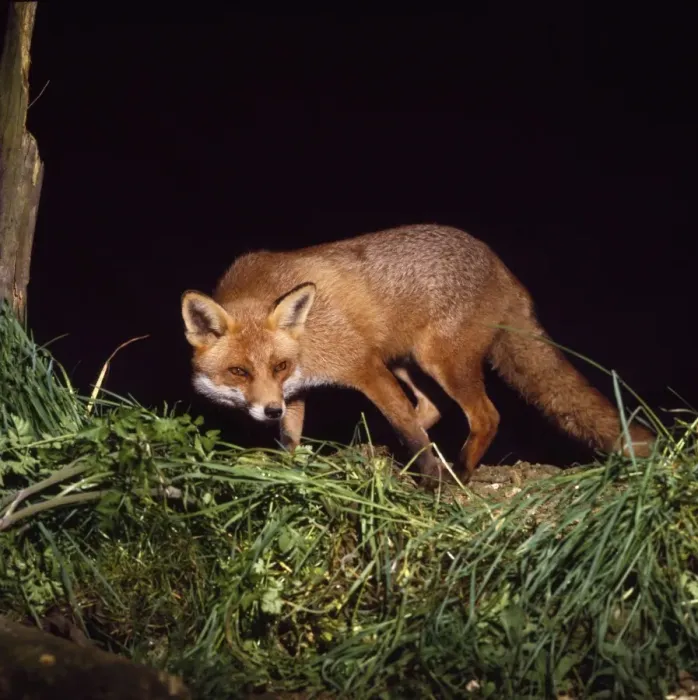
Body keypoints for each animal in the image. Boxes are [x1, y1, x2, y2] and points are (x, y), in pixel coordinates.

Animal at [181, 224, 654, 485]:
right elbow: (291, 439)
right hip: (408, 363)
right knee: (430, 408)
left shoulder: (362, 365)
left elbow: (407, 427)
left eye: (276, 365)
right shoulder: (297, 390)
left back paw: (458, 473)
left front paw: (429, 478)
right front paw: (288, 469)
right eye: (239, 371)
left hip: (438, 362)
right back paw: (377, 451)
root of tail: (502, 269)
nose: (269, 410)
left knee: (483, 416)